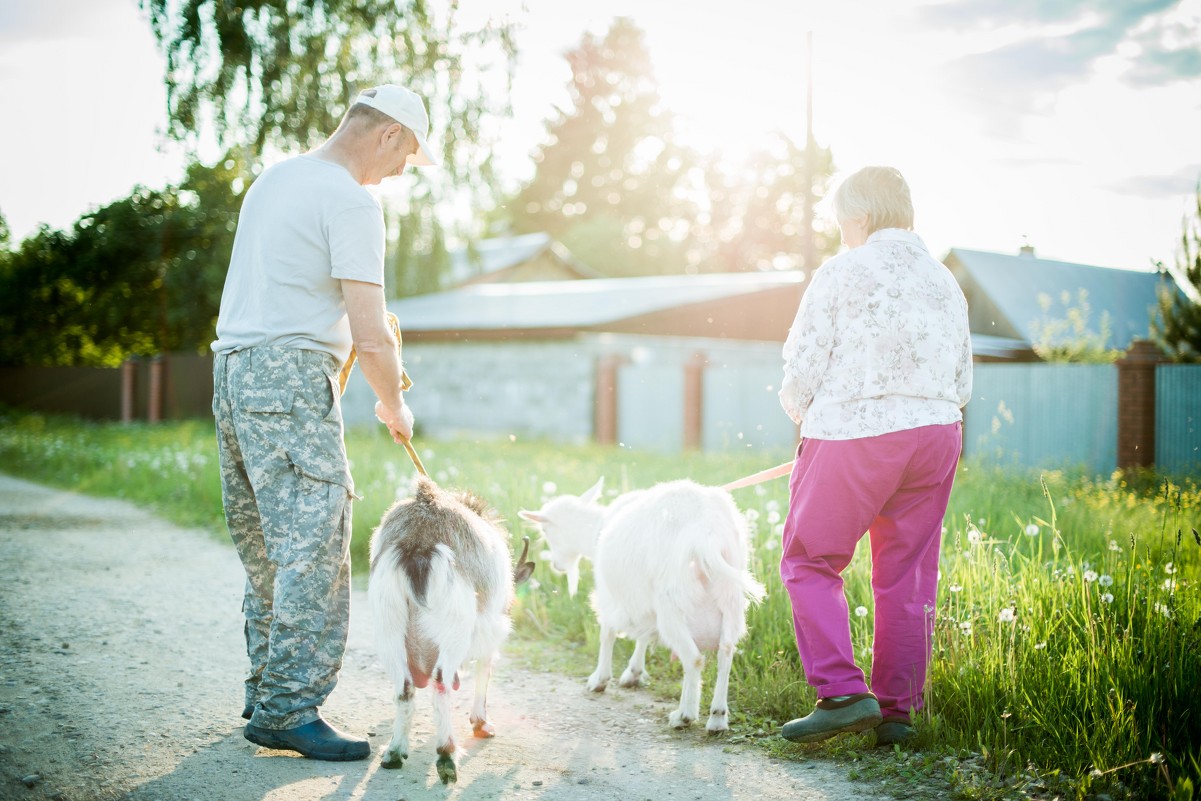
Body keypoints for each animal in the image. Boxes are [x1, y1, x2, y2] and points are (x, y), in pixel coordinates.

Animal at [367, 475, 533, 782]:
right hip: (456, 625)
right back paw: (446, 756)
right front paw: (481, 724)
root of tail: (418, 541)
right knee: (442, 682)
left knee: (404, 687)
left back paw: (395, 753)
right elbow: (484, 669)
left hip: (387, 620)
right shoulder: (489, 630)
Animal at [518, 475, 763, 734]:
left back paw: (684, 715)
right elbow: (644, 635)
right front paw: (633, 673)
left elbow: (607, 633)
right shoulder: (642, 599)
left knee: (693, 658)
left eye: (546, 530)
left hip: (671, 602)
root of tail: (708, 533)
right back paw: (717, 718)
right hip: (730, 596)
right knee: (725, 652)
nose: (557, 565)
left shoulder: (609, 594)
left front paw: (599, 679)